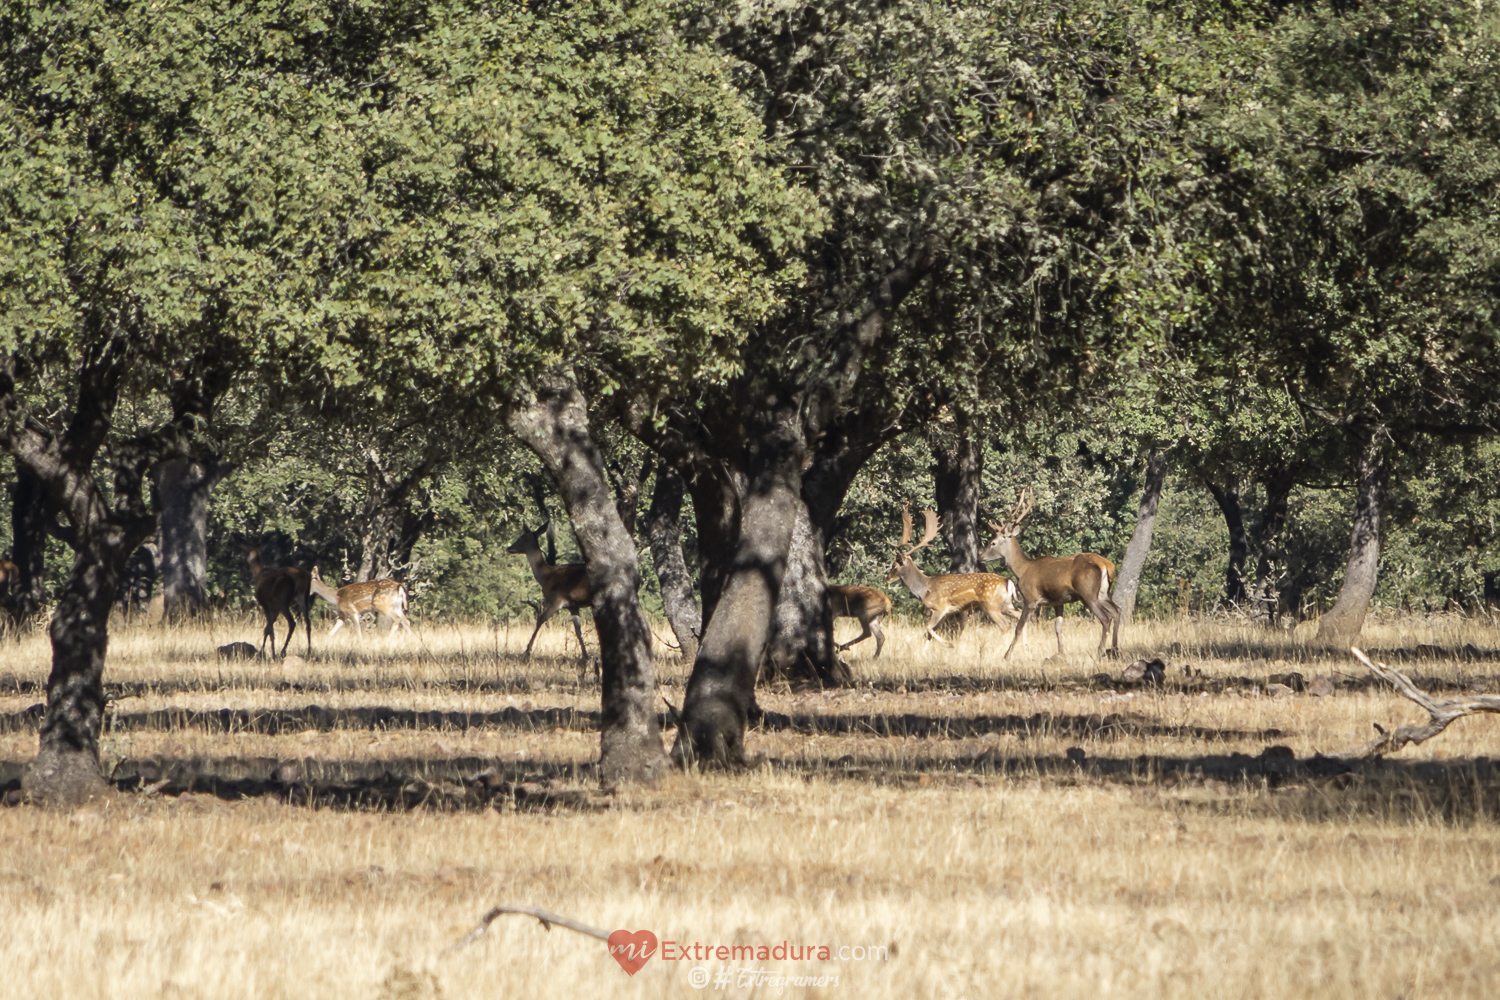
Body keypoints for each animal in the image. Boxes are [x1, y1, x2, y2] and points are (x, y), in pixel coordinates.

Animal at [510, 521, 591, 659]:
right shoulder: (573, 605)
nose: (509, 548)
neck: (546, 576)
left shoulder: (557, 600)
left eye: (521, 538)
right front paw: (585, 655)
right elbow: (578, 629)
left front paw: (527, 650)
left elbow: (540, 619)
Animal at [876, 509, 1020, 641]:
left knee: (1005, 625)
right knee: (1019, 615)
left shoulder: (939, 608)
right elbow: (929, 632)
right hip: (1006, 605)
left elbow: (928, 628)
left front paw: (947, 644)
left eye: (894, 565)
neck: (924, 589)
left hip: (991, 604)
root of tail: (1008, 581)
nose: (887, 579)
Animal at [978, 491, 1122, 659]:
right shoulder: (1058, 601)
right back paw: (1115, 650)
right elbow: (1058, 627)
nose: (980, 557)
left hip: (1088, 593)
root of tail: (1106, 565)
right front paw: (1060, 653)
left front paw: (1006, 655)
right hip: (1103, 593)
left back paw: (1100, 652)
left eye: (993, 543)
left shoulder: (1030, 598)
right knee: (1117, 611)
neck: (1023, 570)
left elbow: (1019, 628)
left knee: (1105, 618)